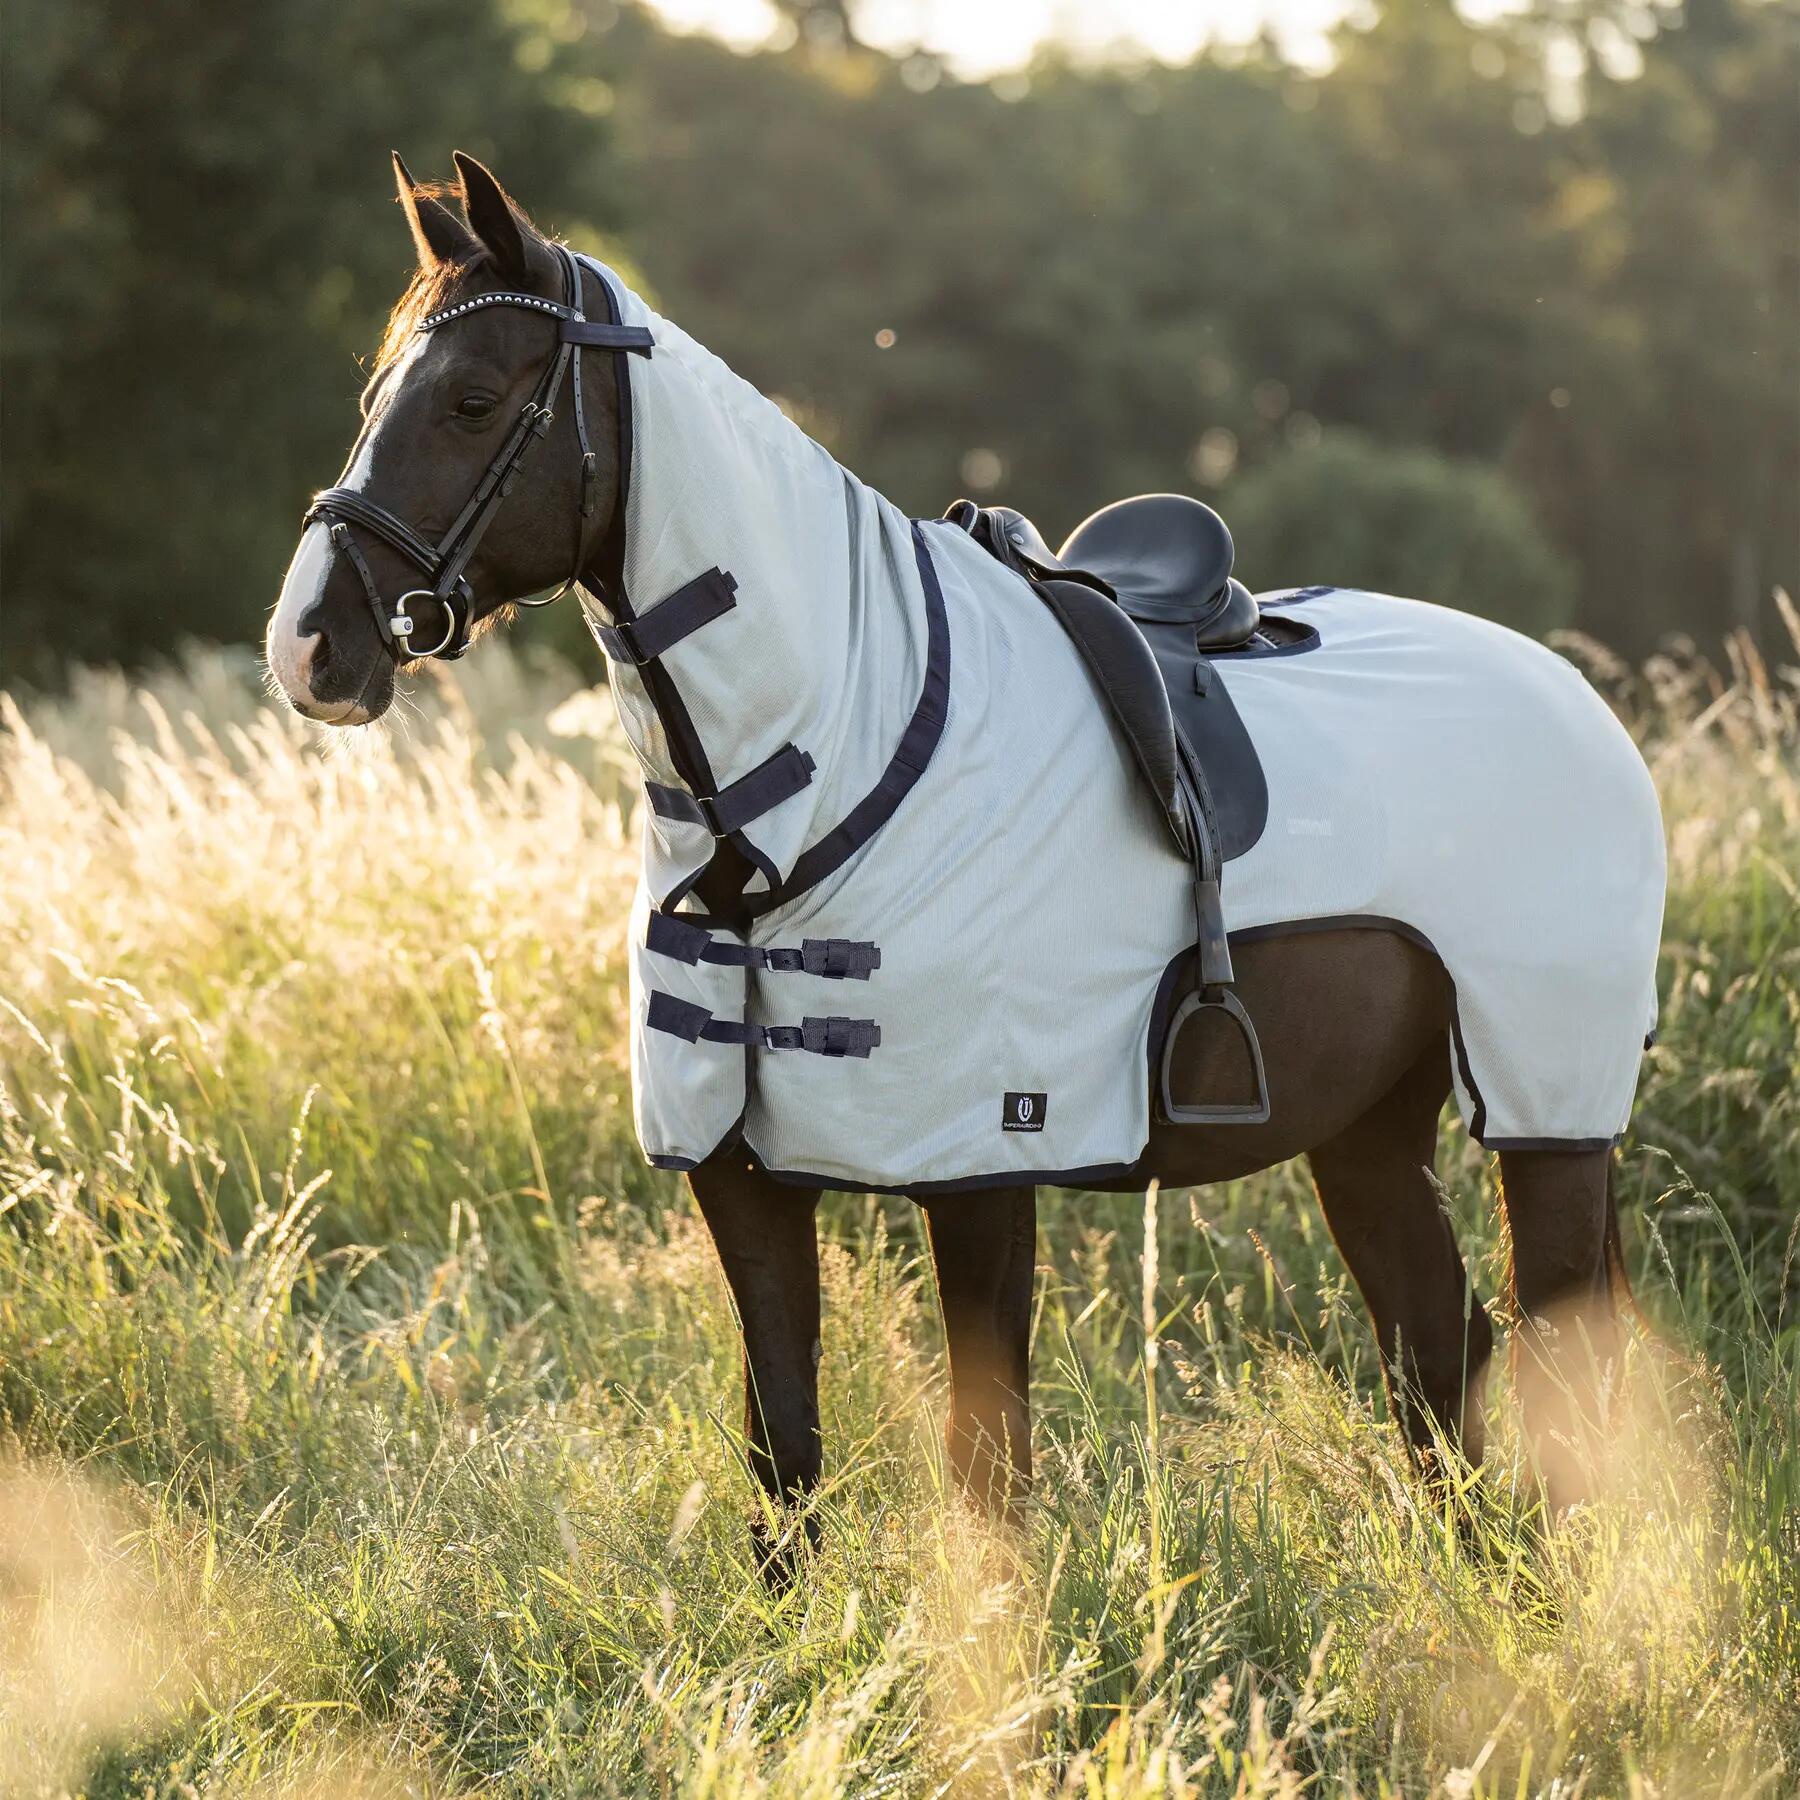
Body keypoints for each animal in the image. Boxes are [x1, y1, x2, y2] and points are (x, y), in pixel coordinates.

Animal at [266, 152, 1663, 1572]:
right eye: (377, 396)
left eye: (472, 400)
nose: (310, 646)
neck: (837, 755)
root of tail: (1575, 699)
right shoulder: (737, 1176)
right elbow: (785, 1457)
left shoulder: (984, 1166)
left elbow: (985, 1468)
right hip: (1369, 1133)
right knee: (1439, 1351)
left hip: (1550, 1110)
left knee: (1557, 1367)